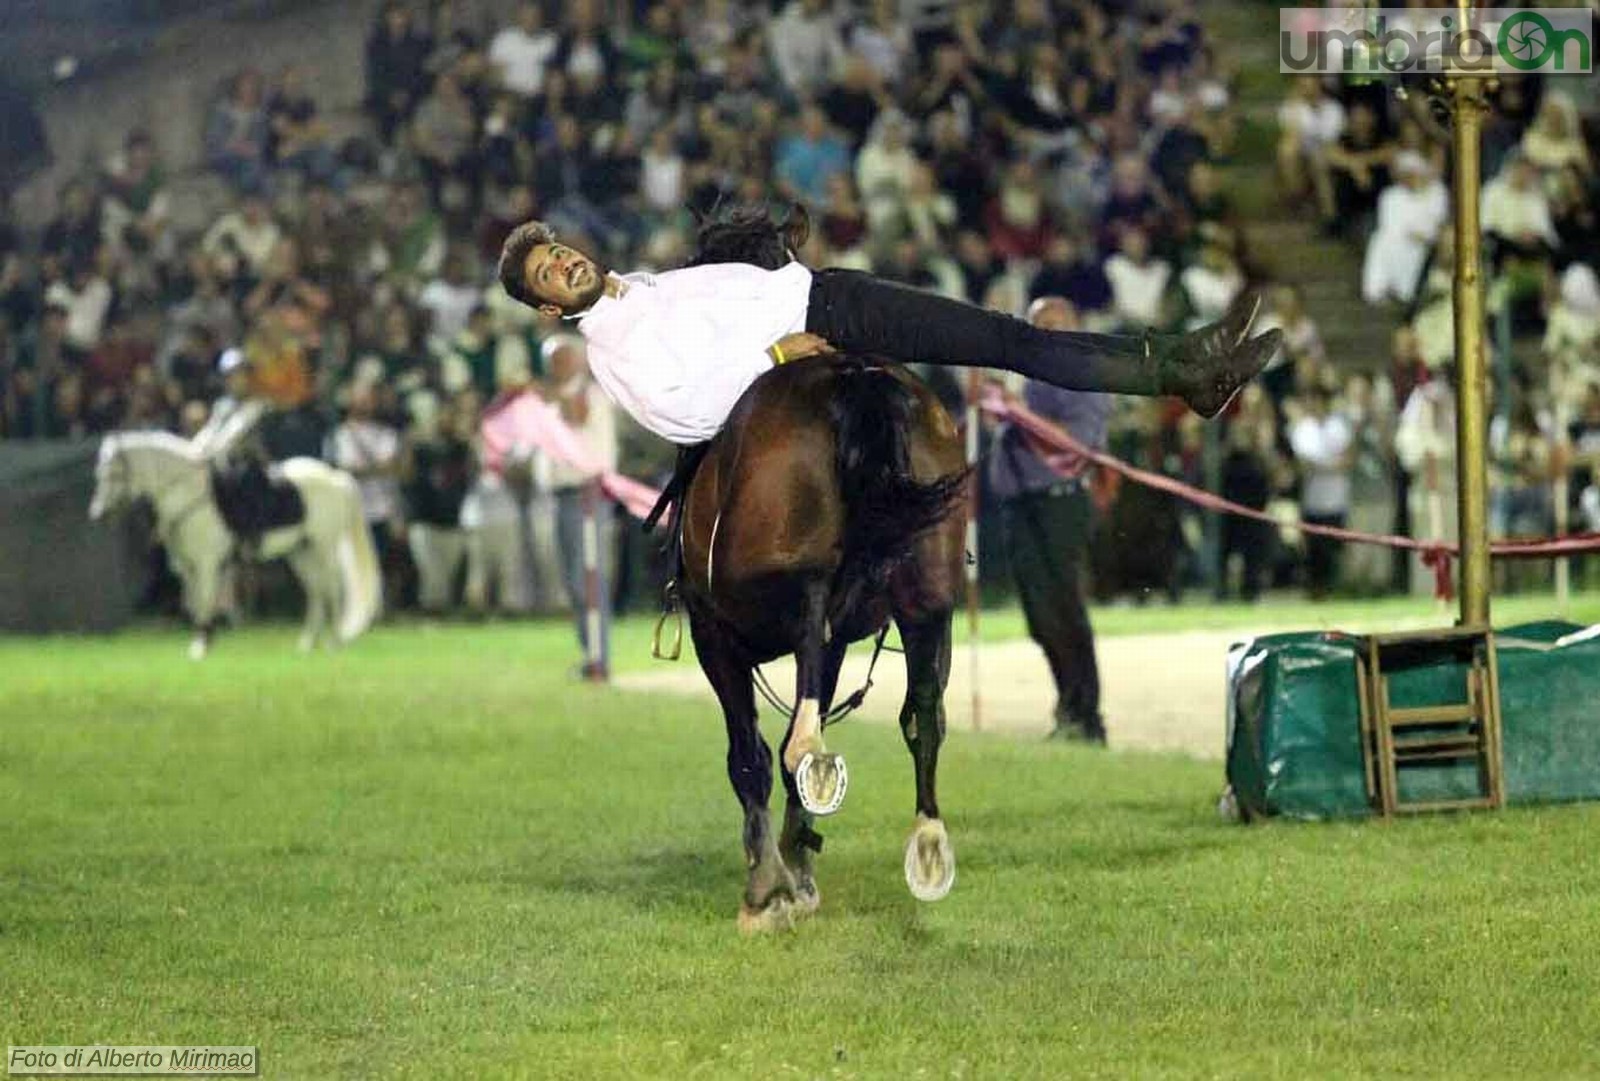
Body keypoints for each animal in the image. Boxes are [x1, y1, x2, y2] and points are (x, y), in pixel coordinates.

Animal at [90, 431, 380, 658]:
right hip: (301, 552)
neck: (190, 496)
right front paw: (203, 643)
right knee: (316, 592)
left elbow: (206, 600)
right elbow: (195, 603)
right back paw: (307, 644)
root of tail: (336, 477)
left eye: (114, 473)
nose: (98, 514)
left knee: (331, 589)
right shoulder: (188, 568)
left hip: (323, 548)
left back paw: (335, 642)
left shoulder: (207, 564)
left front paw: (201, 648)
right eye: (100, 474)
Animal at [675, 209, 960, 927]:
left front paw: (769, 883)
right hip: (929, 594)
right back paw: (928, 840)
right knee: (924, 713)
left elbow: (748, 756)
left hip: (792, 583)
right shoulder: (837, 643)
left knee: (804, 658)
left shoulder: (712, 633)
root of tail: (855, 380)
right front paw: (796, 864)